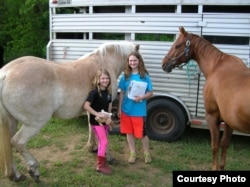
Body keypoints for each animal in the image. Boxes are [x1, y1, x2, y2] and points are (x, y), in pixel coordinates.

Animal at [0, 40, 139, 181]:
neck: (105, 61)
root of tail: (6, 73)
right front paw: (108, 156)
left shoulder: (91, 108)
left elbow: (91, 126)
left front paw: (92, 147)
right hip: (34, 123)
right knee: (18, 142)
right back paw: (34, 169)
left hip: (12, 121)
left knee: (9, 145)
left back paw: (16, 175)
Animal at [162, 26, 250, 171]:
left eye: (177, 45)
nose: (164, 64)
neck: (217, 67)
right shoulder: (228, 122)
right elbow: (224, 144)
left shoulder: (212, 117)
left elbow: (215, 145)